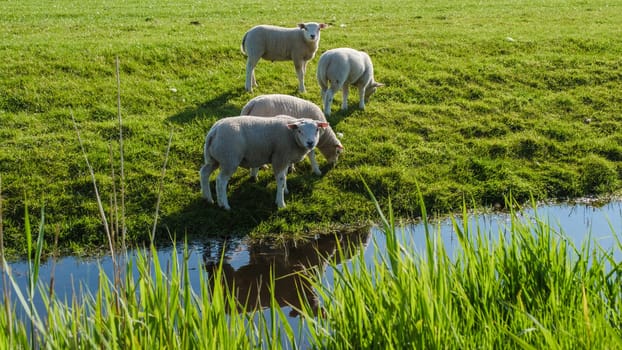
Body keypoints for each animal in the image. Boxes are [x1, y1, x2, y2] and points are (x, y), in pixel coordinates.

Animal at [201, 115, 332, 209]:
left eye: (317, 129)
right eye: (299, 131)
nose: (310, 143)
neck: (292, 136)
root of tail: (214, 131)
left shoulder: (285, 159)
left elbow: (284, 176)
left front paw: (285, 191)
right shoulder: (280, 157)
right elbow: (281, 180)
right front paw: (281, 203)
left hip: (215, 159)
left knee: (204, 173)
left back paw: (209, 199)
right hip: (229, 158)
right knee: (221, 181)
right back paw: (225, 205)